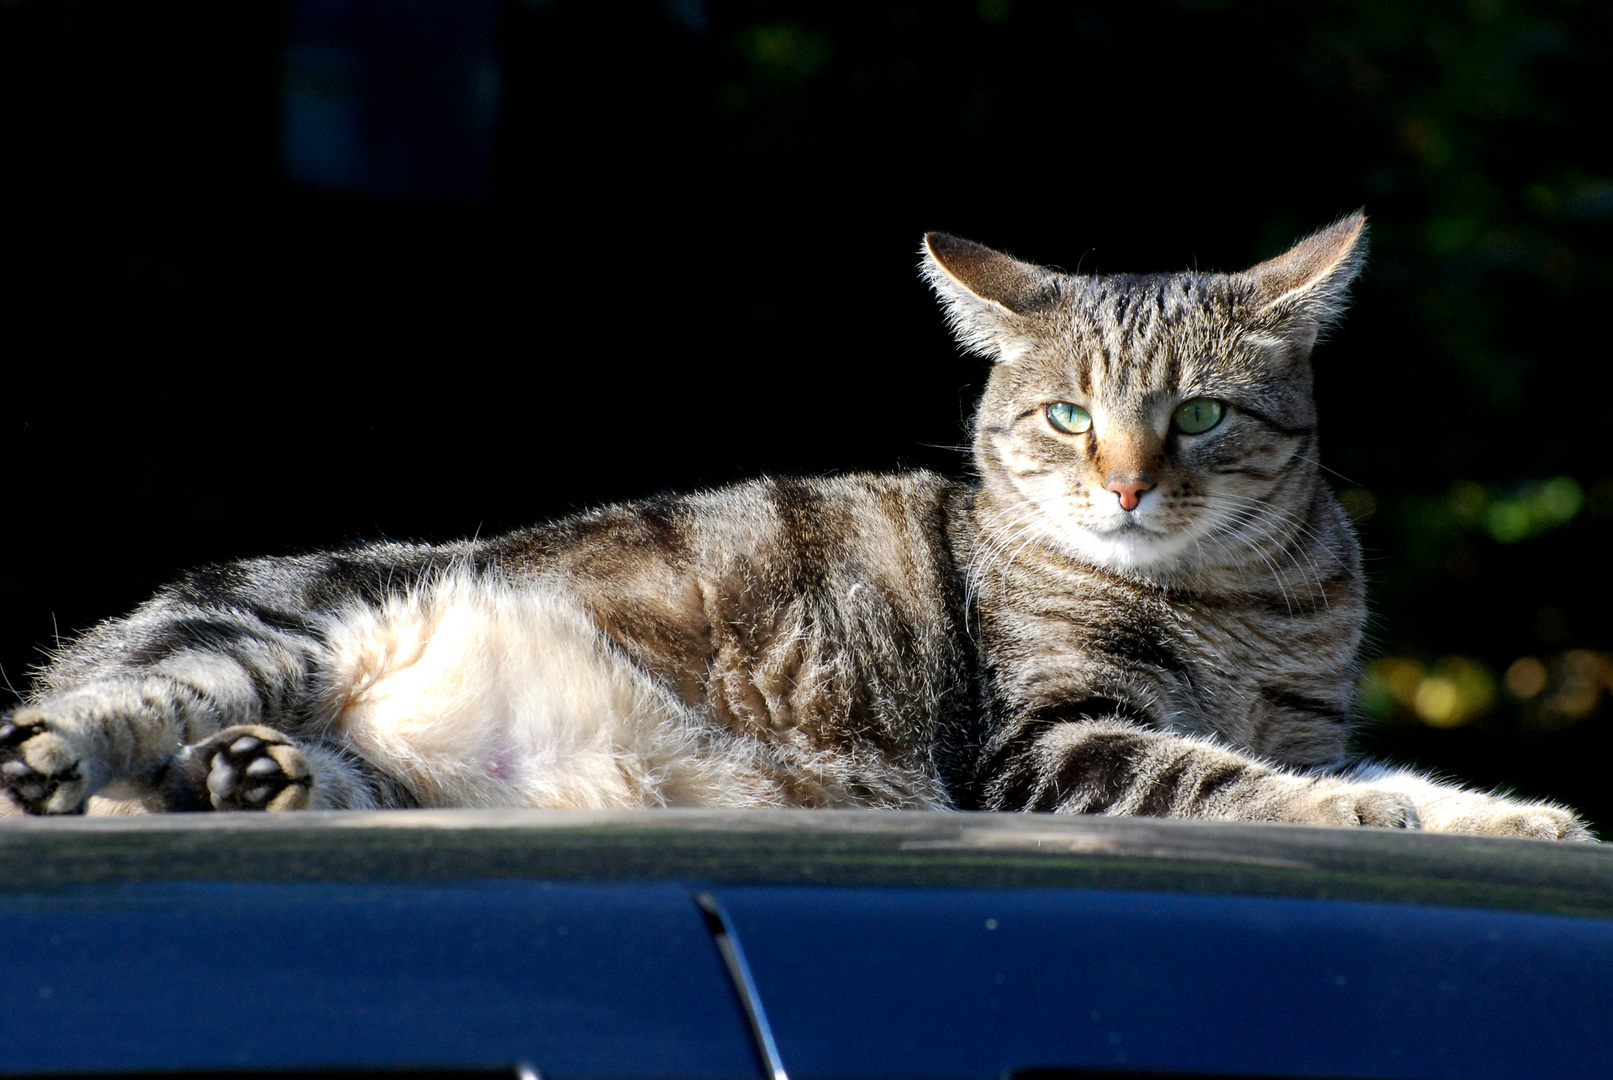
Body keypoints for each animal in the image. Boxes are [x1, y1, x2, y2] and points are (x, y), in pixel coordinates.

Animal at [0, 211, 1587, 838]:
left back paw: (258, 778)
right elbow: (1220, 779)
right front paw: (1361, 811)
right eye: (1068, 418)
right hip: (263, 636)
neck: (1239, 601)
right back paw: (68, 754)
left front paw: (1513, 816)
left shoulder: (1302, 719)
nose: (1129, 485)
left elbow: (1395, 779)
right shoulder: (1044, 748)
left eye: (1194, 416)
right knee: (121, 715)